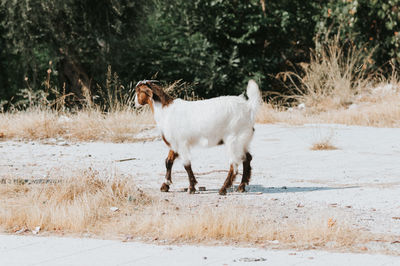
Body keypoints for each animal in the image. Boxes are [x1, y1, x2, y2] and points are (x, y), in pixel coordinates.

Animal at [134, 80, 262, 194]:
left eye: (138, 91)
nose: (135, 103)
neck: (165, 111)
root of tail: (248, 107)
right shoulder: (174, 144)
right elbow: (168, 161)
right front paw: (165, 185)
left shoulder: (181, 143)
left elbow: (186, 164)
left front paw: (191, 187)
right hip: (242, 141)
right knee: (247, 158)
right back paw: (241, 186)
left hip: (234, 139)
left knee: (234, 163)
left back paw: (223, 189)